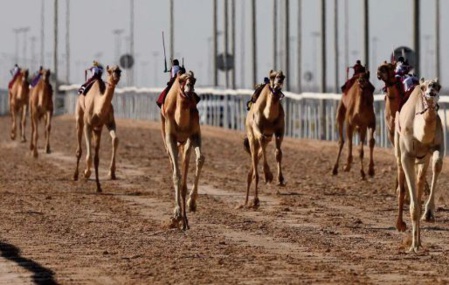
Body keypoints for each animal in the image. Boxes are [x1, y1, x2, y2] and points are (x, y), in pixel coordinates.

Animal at [160, 70, 204, 230]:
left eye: (194, 79)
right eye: (181, 80)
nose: (189, 86)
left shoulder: (194, 135)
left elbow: (200, 159)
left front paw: (192, 204)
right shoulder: (170, 138)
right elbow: (177, 174)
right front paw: (177, 214)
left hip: (184, 142)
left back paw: (184, 219)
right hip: (165, 138)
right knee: (173, 165)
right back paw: (178, 218)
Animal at [243, 70, 286, 209]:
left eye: (283, 76)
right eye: (272, 76)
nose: (278, 81)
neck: (268, 116)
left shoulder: (279, 130)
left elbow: (278, 152)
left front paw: (280, 179)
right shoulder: (258, 130)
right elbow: (261, 138)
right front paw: (268, 175)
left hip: (267, 139)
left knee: (256, 159)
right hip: (251, 136)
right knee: (255, 160)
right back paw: (253, 201)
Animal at [392, 77, 440, 251]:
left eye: (438, 86)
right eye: (424, 87)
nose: (431, 90)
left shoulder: (436, 147)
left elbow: (437, 165)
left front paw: (429, 213)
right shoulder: (407, 156)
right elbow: (413, 204)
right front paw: (412, 247)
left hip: (422, 161)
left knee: (419, 184)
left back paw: (419, 241)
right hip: (398, 148)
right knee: (401, 181)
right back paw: (400, 225)